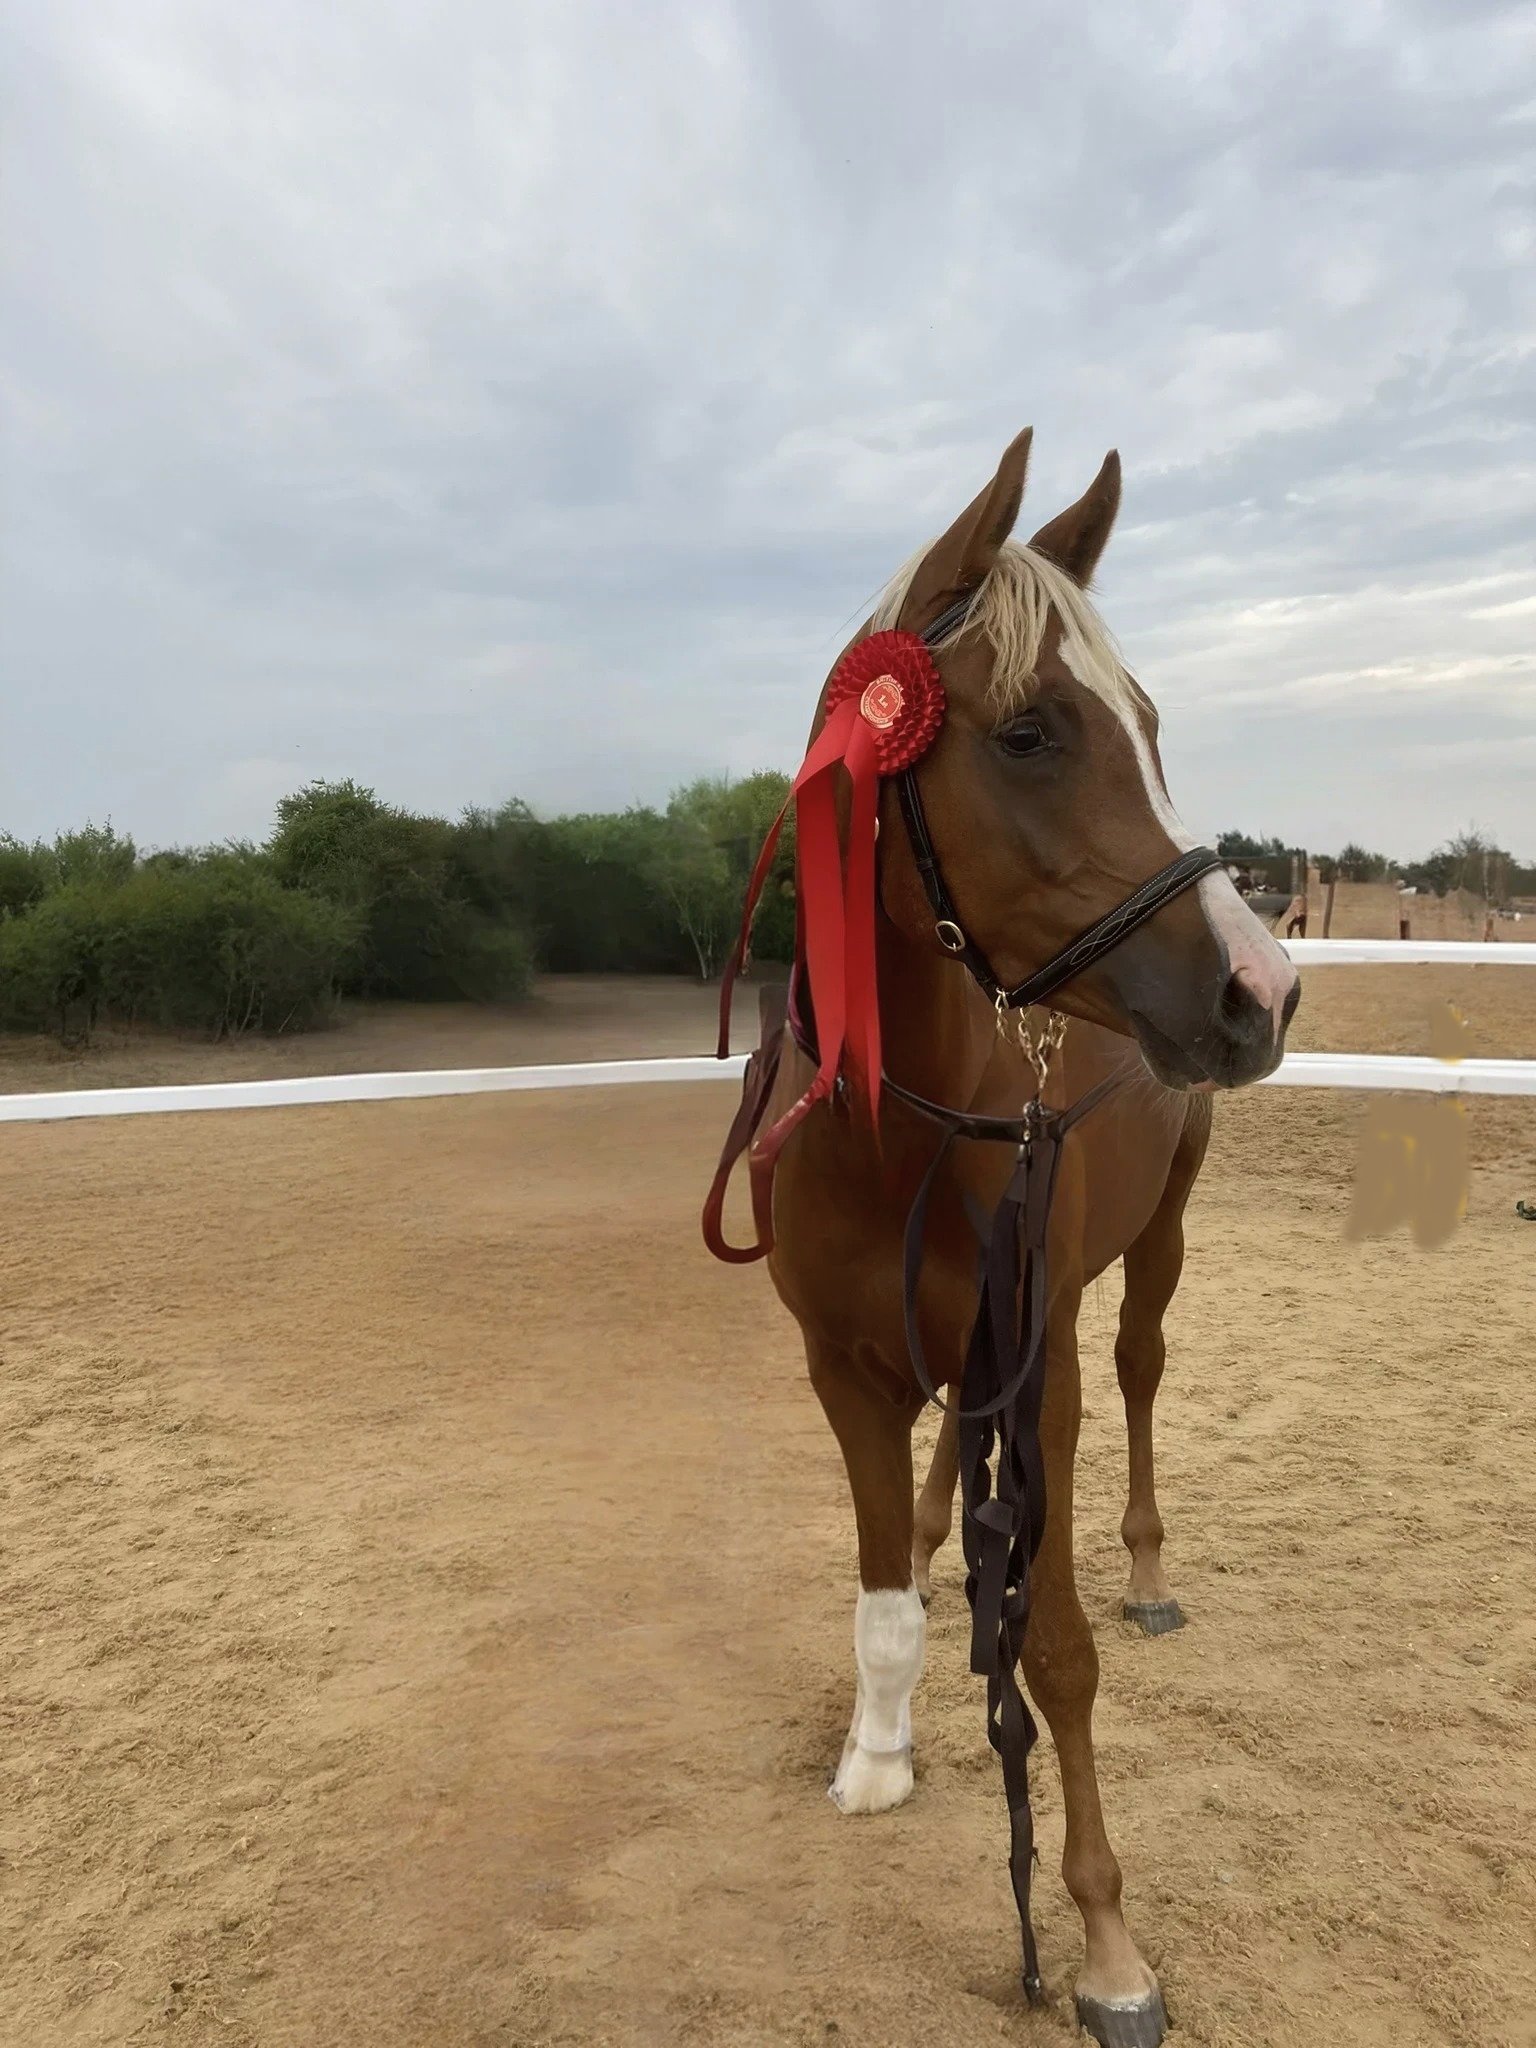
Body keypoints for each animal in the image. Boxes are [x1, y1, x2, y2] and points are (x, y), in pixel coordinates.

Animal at [704, 426, 1300, 2047]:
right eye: (1031, 733)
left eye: (1149, 723)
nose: (1262, 988)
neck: (896, 1126)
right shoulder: (843, 1372)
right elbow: (882, 1600)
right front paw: (879, 1751)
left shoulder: (1041, 1376)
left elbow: (1059, 1649)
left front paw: (1103, 1947)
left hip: (1152, 1253)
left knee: (1144, 1373)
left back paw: (1149, 1572)